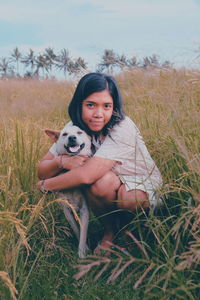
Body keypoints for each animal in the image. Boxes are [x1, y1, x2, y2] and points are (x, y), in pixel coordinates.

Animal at [45, 124, 92, 258]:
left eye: (79, 132)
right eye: (65, 134)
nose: (72, 137)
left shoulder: (84, 209)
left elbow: (83, 231)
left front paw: (82, 252)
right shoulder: (67, 210)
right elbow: (76, 229)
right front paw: (85, 247)